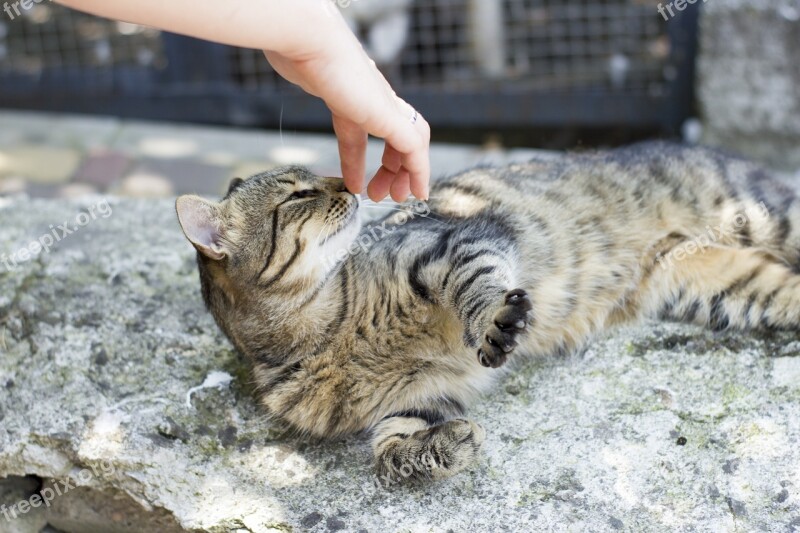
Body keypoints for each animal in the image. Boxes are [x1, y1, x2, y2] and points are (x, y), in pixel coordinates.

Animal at [177, 142, 800, 482]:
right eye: (296, 195)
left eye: (315, 180)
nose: (349, 184)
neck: (333, 330)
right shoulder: (419, 396)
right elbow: (387, 450)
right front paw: (436, 451)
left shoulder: (456, 243)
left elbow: (477, 289)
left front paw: (495, 325)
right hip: (720, 284)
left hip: (766, 218)